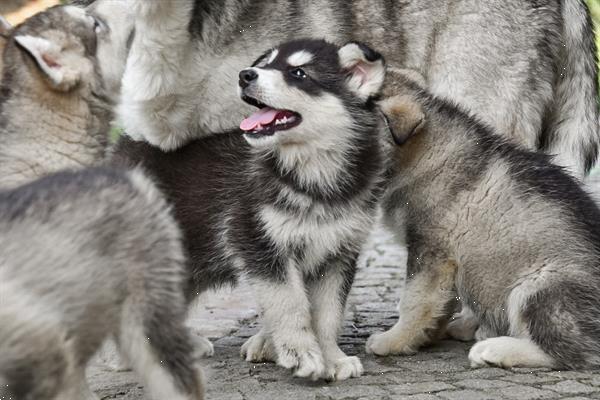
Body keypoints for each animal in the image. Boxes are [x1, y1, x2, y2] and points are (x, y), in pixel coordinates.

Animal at [110, 39, 386, 382]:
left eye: (298, 73)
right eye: (265, 64)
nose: (245, 75)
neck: (314, 175)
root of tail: (129, 140)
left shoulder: (338, 253)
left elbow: (328, 314)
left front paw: (333, 358)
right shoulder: (260, 240)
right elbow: (290, 303)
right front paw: (302, 353)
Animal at [366, 71, 600, 368]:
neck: (422, 150)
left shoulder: (430, 252)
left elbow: (414, 300)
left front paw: (393, 340)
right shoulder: (445, 260)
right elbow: (440, 303)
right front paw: (427, 335)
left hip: (539, 286)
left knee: (573, 352)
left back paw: (496, 349)